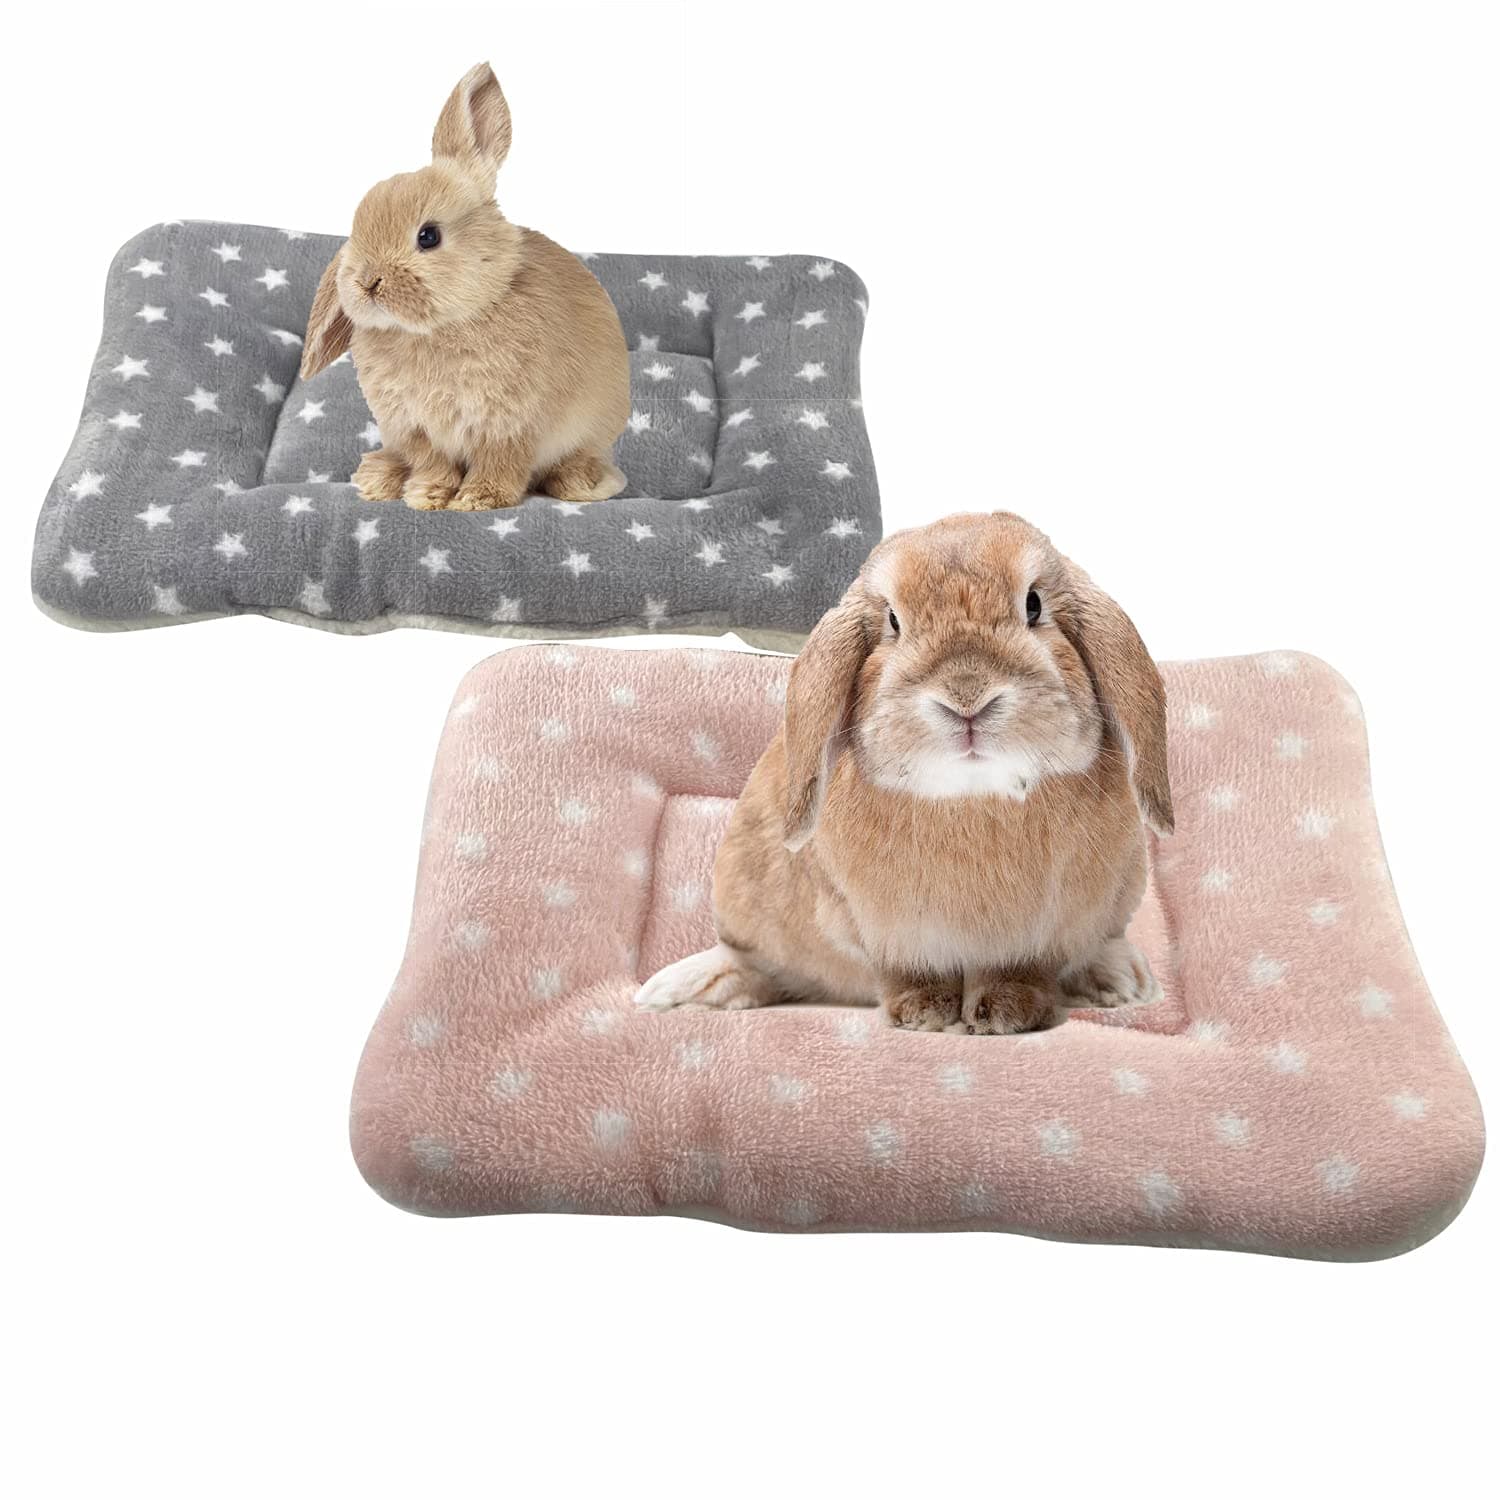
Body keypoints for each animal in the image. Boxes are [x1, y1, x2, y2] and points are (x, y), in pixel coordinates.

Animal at [300, 63, 629, 511]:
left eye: (428, 236)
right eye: (356, 229)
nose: (367, 282)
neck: (439, 327)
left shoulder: (509, 425)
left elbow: (500, 464)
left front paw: (477, 500)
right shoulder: (416, 429)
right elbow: (433, 464)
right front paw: (426, 495)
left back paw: (585, 484)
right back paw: (378, 478)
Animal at [635, 511, 1175, 1035]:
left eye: (1034, 605)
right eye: (893, 620)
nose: (966, 695)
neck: (973, 798)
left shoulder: (1040, 935)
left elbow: (1019, 972)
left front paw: (1006, 1014)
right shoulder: (881, 929)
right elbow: (909, 974)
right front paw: (922, 1014)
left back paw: (1120, 979)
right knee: (758, 963)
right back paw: (678, 990)